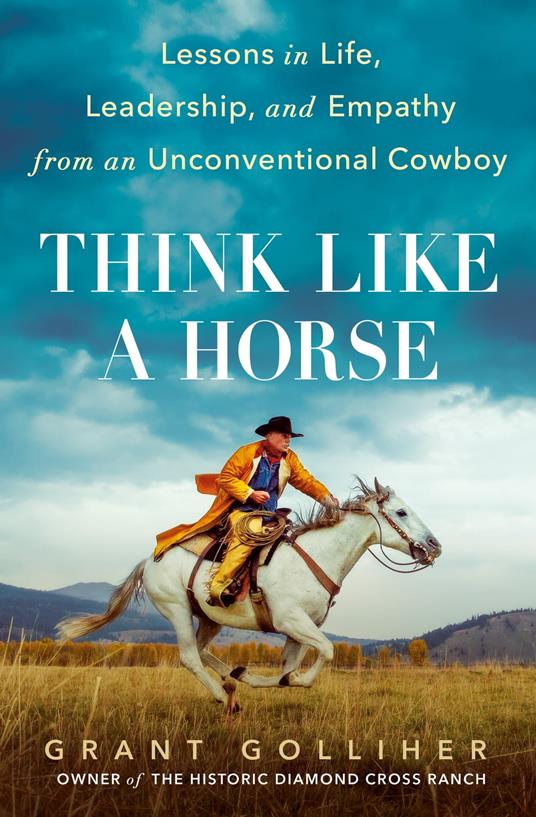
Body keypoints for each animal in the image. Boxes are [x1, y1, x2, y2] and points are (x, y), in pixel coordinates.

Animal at [57, 479, 441, 711]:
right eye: (401, 512)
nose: (434, 545)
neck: (317, 557)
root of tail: (149, 559)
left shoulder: (298, 632)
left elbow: (287, 672)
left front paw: (255, 677)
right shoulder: (292, 621)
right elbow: (326, 653)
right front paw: (284, 678)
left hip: (209, 617)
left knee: (202, 651)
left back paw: (231, 680)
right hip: (177, 609)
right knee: (189, 657)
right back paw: (223, 697)